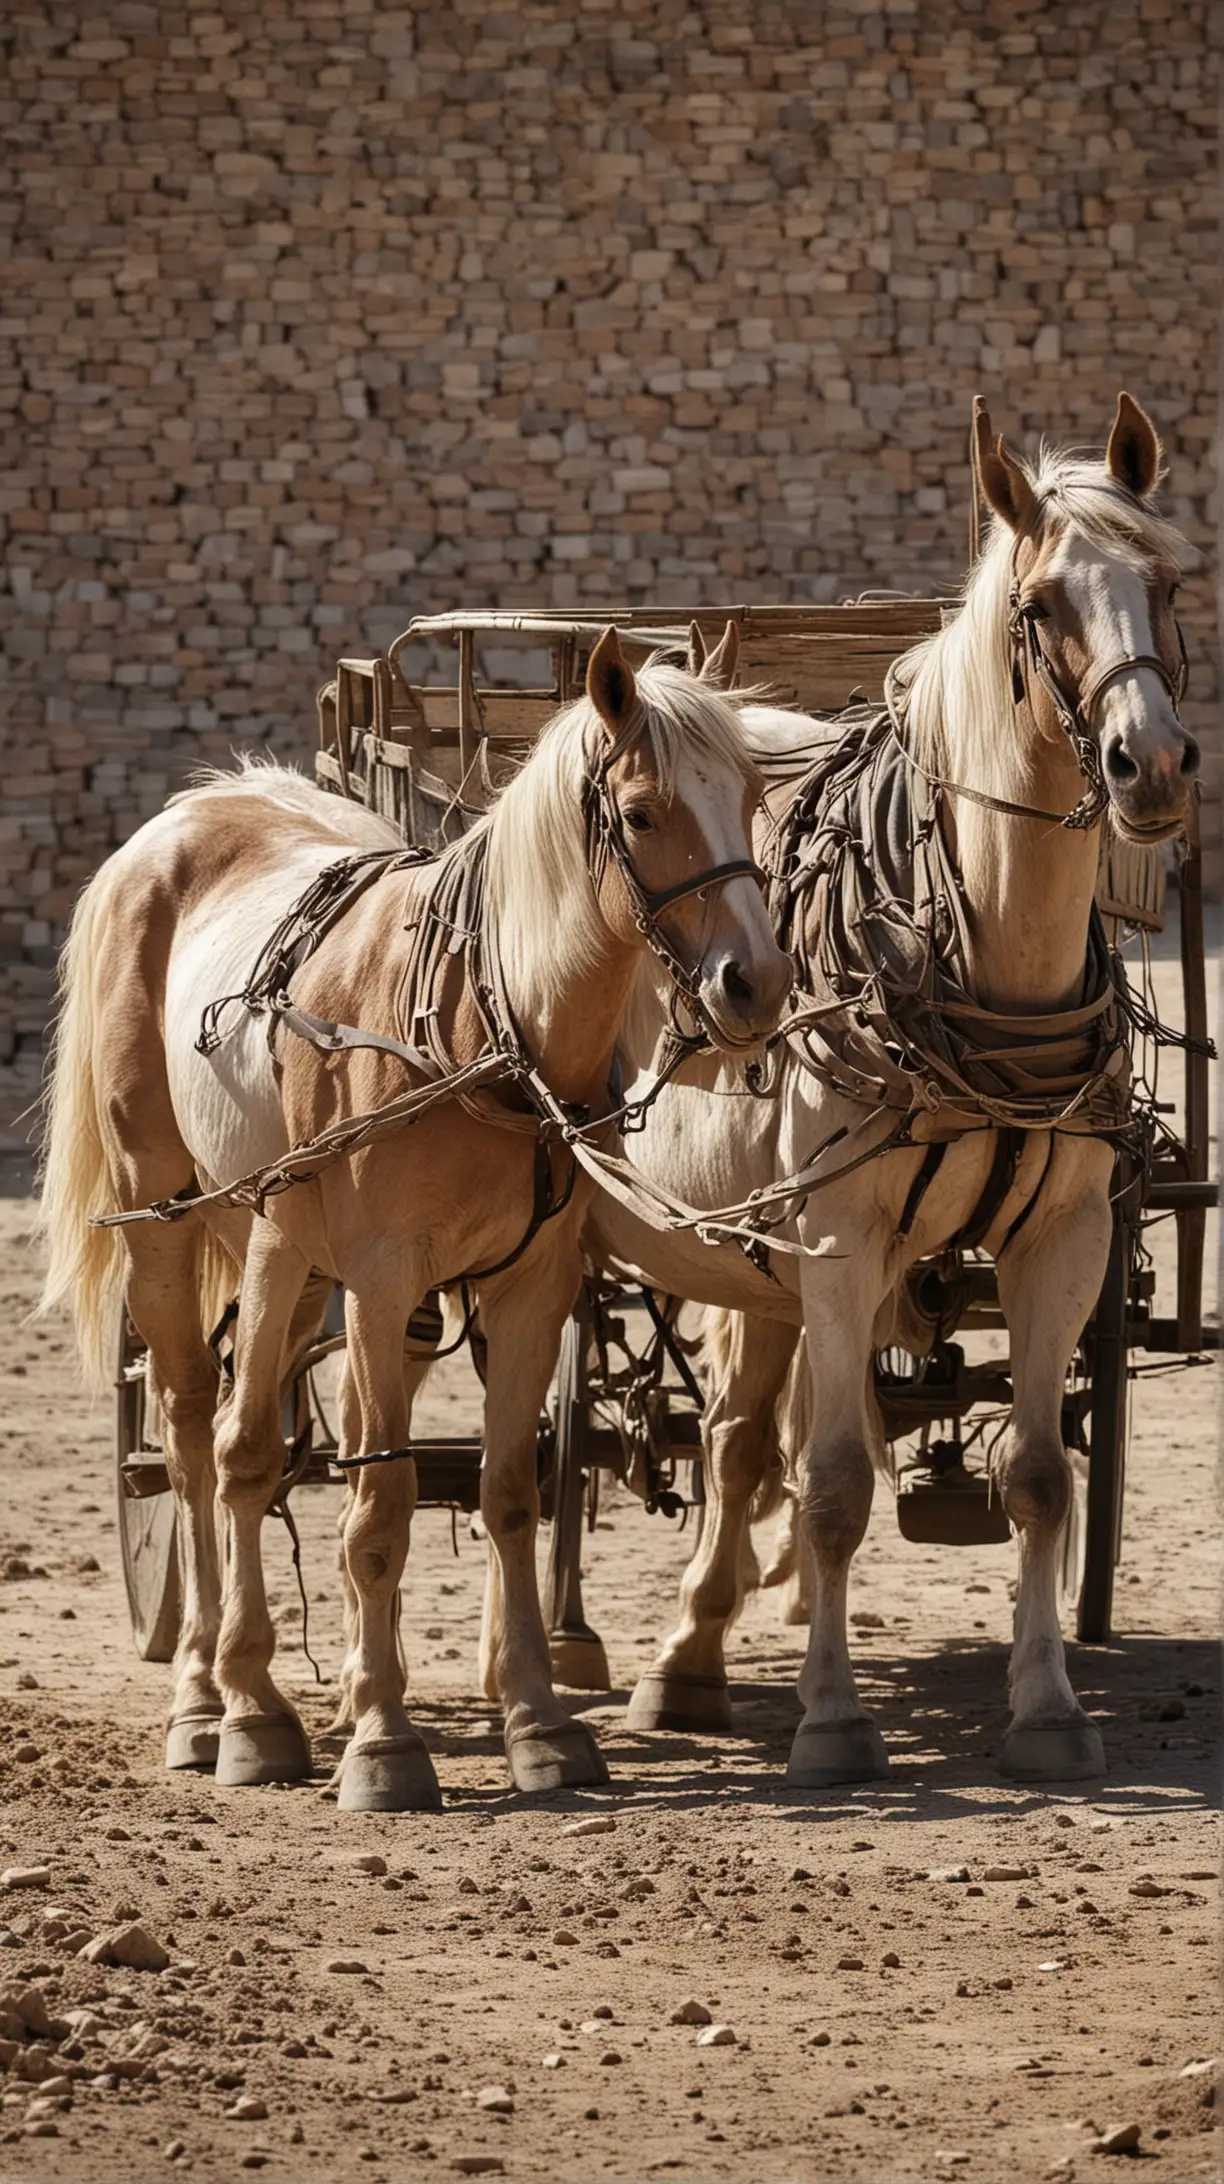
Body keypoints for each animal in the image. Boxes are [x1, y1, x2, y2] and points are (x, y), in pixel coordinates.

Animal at [40, 633, 795, 1808]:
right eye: (639, 814)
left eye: (755, 794)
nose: (755, 984)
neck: (477, 1029)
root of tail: (185, 814)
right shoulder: (384, 1277)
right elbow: (377, 1507)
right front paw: (380, 1743)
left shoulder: (528, 1286)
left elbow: (508, 1491)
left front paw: (535, 1723)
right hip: (171, 1223)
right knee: (199, 1439)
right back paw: (217, 1699)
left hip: (296, 1258)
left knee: (271, 1443)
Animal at [577, 397, 1197, 1790]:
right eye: (1039, 606)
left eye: (1171, 582)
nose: (1151, 766)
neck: (982, 967)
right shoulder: (841, 1235)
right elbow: (837, 1486)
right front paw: (833, 1721)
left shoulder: (1062, 1240)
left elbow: (1037, 1477)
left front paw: (1048, 1709)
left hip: (756, 1253)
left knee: (743, 1434)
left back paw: (695, 1650)